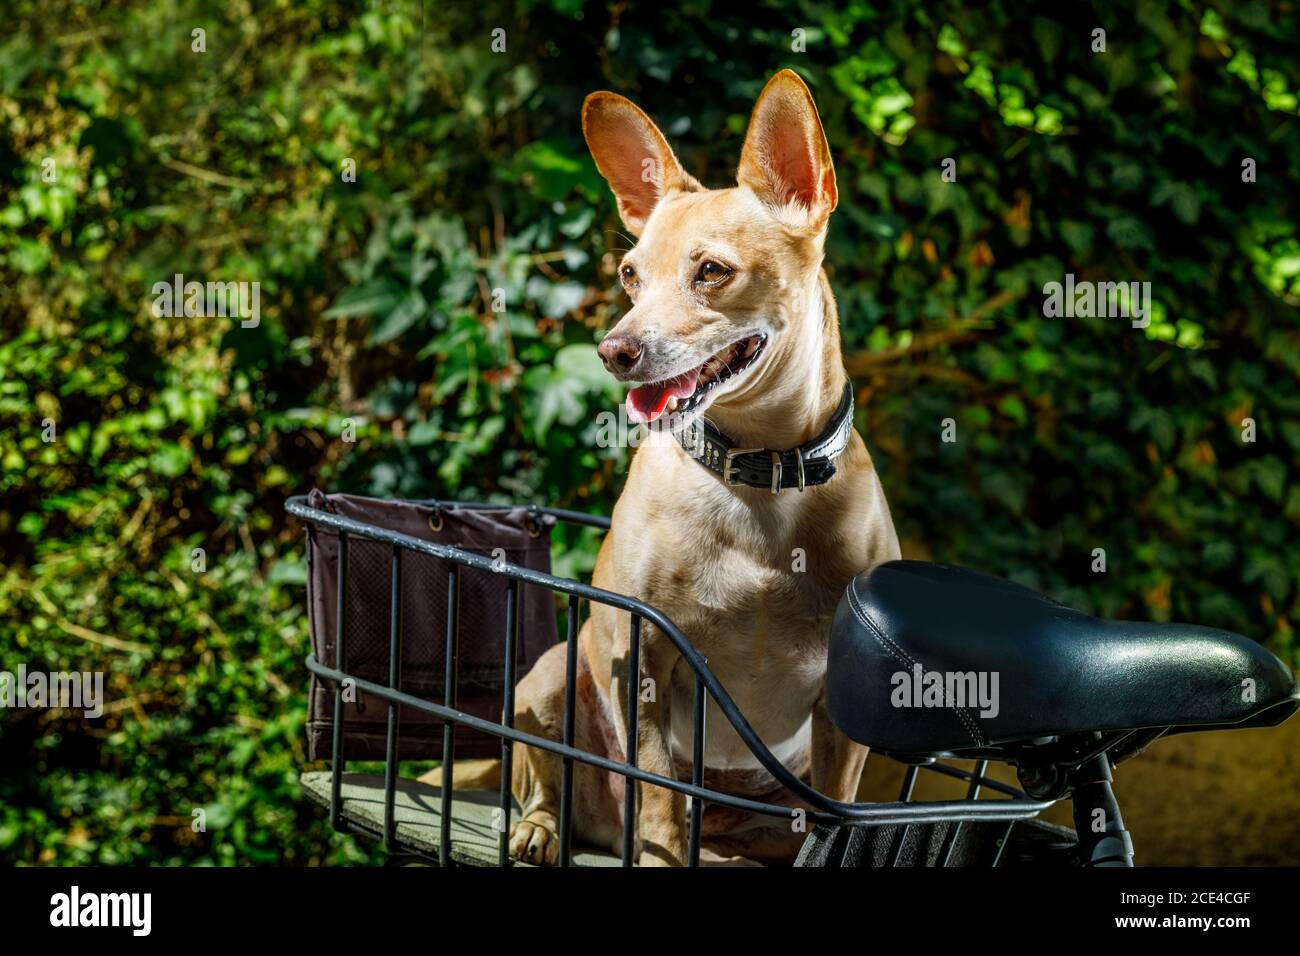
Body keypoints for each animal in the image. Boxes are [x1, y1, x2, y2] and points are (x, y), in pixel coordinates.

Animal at [509, 69, 904, 868]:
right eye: (630, 275)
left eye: (713, 272)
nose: (613, 349)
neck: (761, 471)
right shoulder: (642, 664)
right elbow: (660, 801)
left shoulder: (840, 717)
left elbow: (837, 811)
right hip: (548, 678)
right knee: (551, 780)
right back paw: (541, 829)